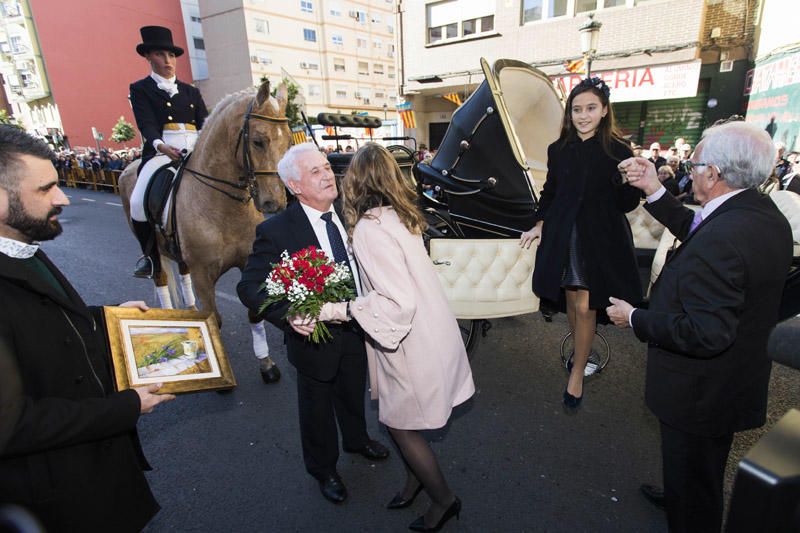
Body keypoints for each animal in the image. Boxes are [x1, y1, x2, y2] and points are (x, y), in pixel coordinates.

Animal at [119, 79, 294, 382]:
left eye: (288, 142)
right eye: (258, 141)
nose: (275, 202)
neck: (224, 206)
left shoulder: (246, 263)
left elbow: (254, 314)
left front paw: (266, 363)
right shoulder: (203, 273)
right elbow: (214, 319)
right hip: (155, 253)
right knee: (161, 279)